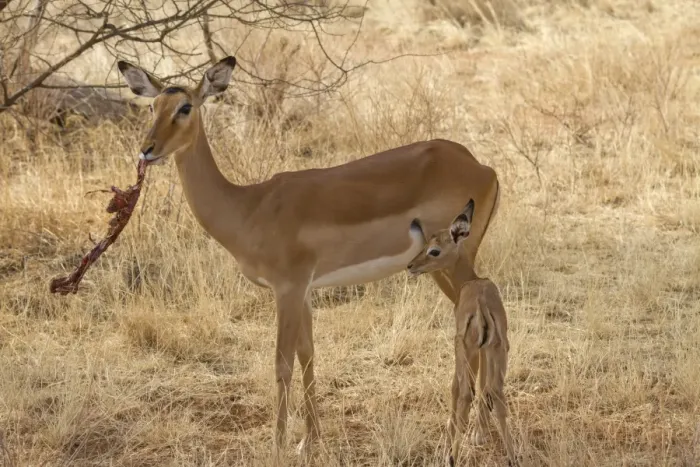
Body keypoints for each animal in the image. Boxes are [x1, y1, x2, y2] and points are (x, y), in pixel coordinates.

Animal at [116, 55, 501, 458]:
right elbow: (308, 352)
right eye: (152, 106)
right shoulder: (303, 291)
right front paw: (309, 440)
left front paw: (278, 445)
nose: (147, 149)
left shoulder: (286, 288)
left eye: (185, 107)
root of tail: (483, 168)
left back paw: (473, 434)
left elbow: (282, 362)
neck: (248, 208)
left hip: (452, 264)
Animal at [407, 200, 517, 467]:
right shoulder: (488, 351)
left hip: (464, 349)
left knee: (465, 392)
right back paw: (512, 457)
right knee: (496, 394)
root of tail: (481, 306)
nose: (411, 266)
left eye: (434, 250)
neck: (469, 282)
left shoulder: (464, 349)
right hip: (498, 350)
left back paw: (452, 457)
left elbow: (455, 388)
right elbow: (485, 387)